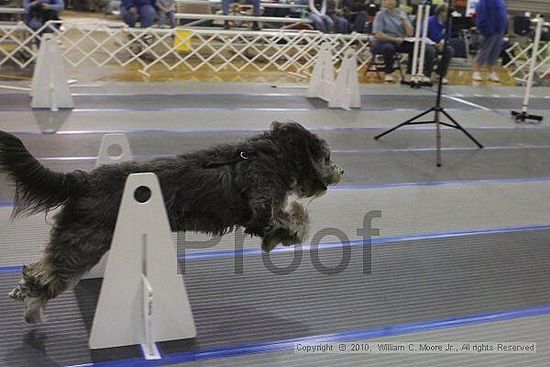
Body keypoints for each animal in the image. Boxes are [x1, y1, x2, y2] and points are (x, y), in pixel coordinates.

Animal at [0, 122, 342, 324]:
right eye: (326, 156)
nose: (340, 171)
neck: (273, 156)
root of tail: (83, 180)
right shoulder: (262, 209)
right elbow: (294, 220)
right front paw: (289, 234)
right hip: (84, 242)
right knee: (46, 275)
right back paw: (32, 307)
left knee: (40, 267)